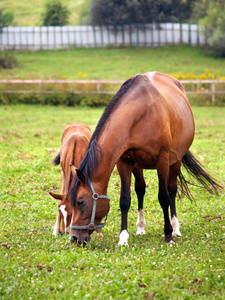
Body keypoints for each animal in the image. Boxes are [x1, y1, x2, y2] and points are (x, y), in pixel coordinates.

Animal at [69, 71, 221, 245]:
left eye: (80, 202)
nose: (74, 238)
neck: (140, 114)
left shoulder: (162, 161)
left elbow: (164, 197)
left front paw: (168, 235)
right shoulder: (124, 162)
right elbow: (125, 199)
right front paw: (123, 238)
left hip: (176, 161)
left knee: (172, 190)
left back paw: (175, 229)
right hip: (138, 165)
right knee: (140, 189)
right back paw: (141, 228)